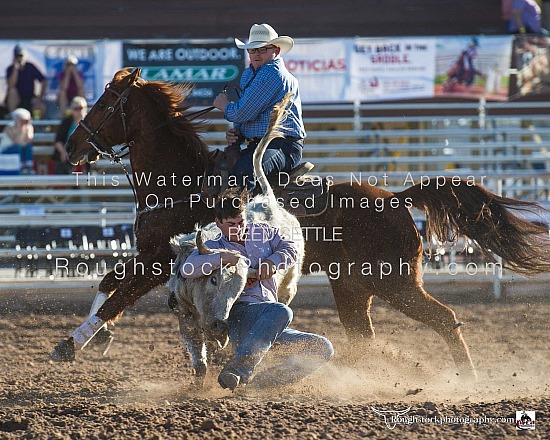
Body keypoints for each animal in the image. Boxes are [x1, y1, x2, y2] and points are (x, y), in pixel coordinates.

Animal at [51, 69, 550, 378]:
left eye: (103, 104)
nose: (72, 146)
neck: (181, 182)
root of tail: (396, 199)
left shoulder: (157, 261)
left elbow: (117, 299)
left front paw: (71, 345)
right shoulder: (148, 257)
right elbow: (108, 282)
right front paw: (99, 338)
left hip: (396, 283)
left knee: (445, 320)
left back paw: (466, 377)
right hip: (352, 287)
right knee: (365, 337)